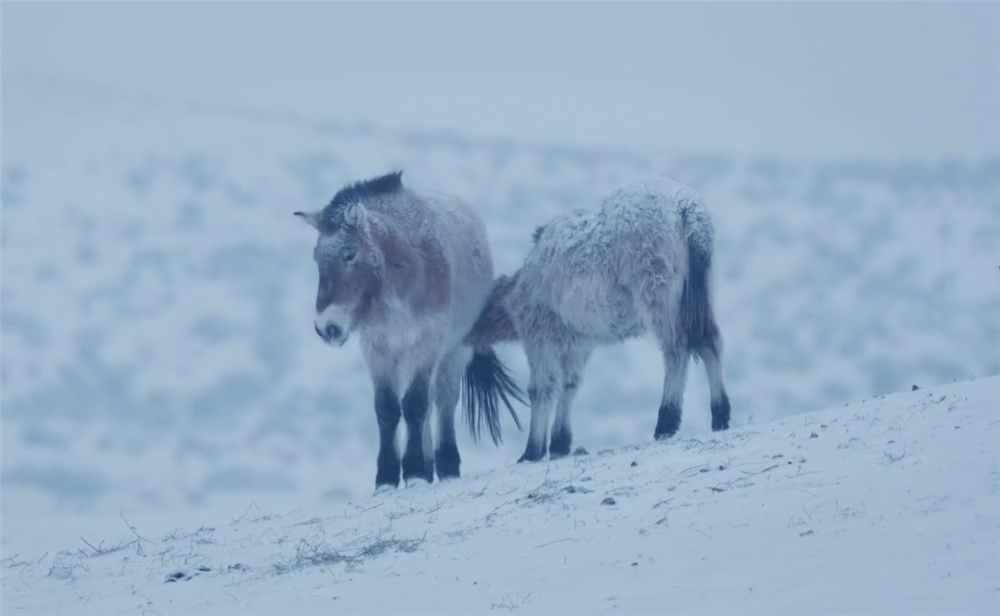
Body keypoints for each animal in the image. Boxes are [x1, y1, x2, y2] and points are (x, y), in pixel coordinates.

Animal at [464, 178, 732, 462]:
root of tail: (688, 210)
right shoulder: (579, 344)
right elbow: (569, 386)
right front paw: (559, 443)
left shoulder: (539, 337)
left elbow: (542, 389)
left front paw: (532, 450)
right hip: (699, 290)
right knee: (709, 341)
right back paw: (720, 413)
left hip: (658, 288)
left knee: (677, 348)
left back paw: (667, 420)